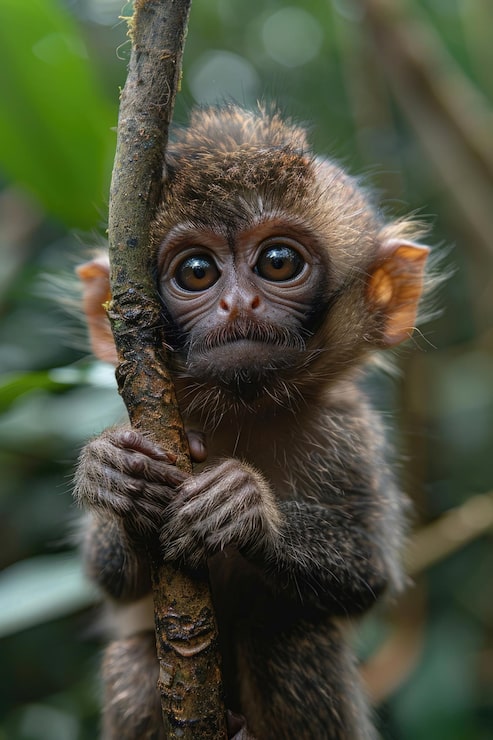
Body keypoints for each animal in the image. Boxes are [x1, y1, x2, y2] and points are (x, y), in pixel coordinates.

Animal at [74, 105, 430, 740]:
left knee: (290, 636)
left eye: (278, 263)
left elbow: (367, 576)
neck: (244, 410)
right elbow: (112, 580)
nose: (239, 304)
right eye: (196, 271)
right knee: (133, 660)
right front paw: (115, 476)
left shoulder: (350, 434)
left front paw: (243, 508)